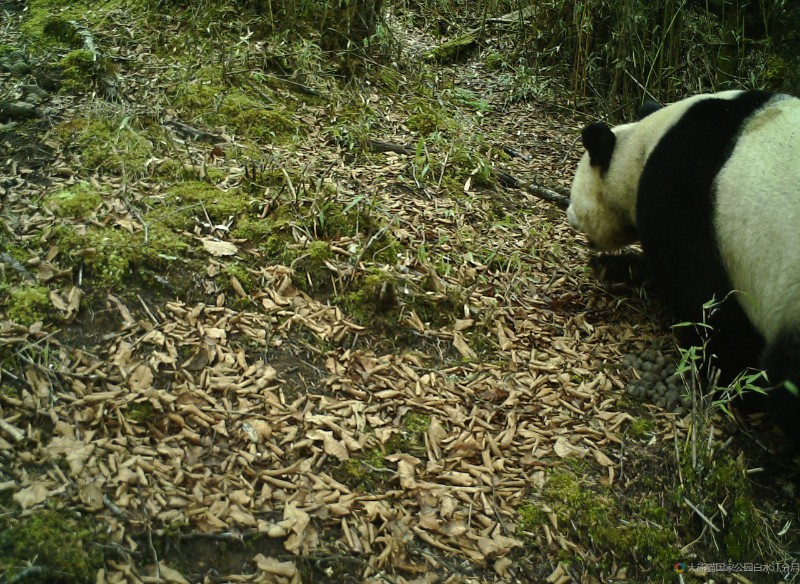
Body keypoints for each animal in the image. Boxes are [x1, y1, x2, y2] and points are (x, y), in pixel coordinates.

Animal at [568, 90, 800, 448]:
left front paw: (731, 379)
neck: (646, 144)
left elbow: (705, 303)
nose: (569, 214)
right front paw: (614, 266)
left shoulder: (684, 195)